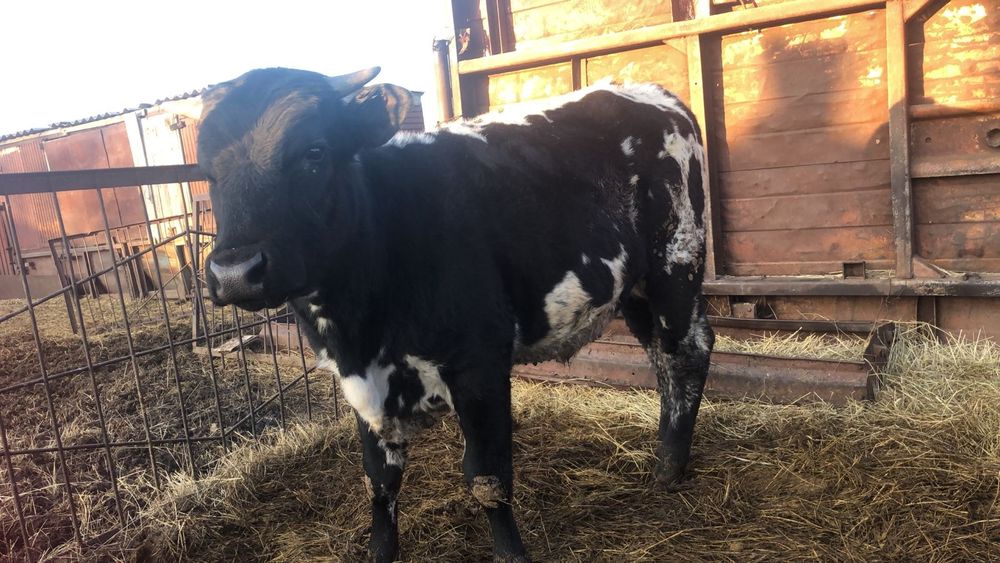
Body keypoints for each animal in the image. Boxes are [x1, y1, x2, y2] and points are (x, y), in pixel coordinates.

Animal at [201, 66, 714, 563]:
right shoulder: (360, 384)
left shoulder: (479, 365)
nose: (234, 272)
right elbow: (378, 481)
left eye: (314, 152)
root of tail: (646, 92)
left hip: (676, 262)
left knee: (686, 353)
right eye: (207, 172)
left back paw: (669, 467)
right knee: (663, 355)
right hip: (637, 289)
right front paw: (380, 551)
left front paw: (510, 554)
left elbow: (487, 479)